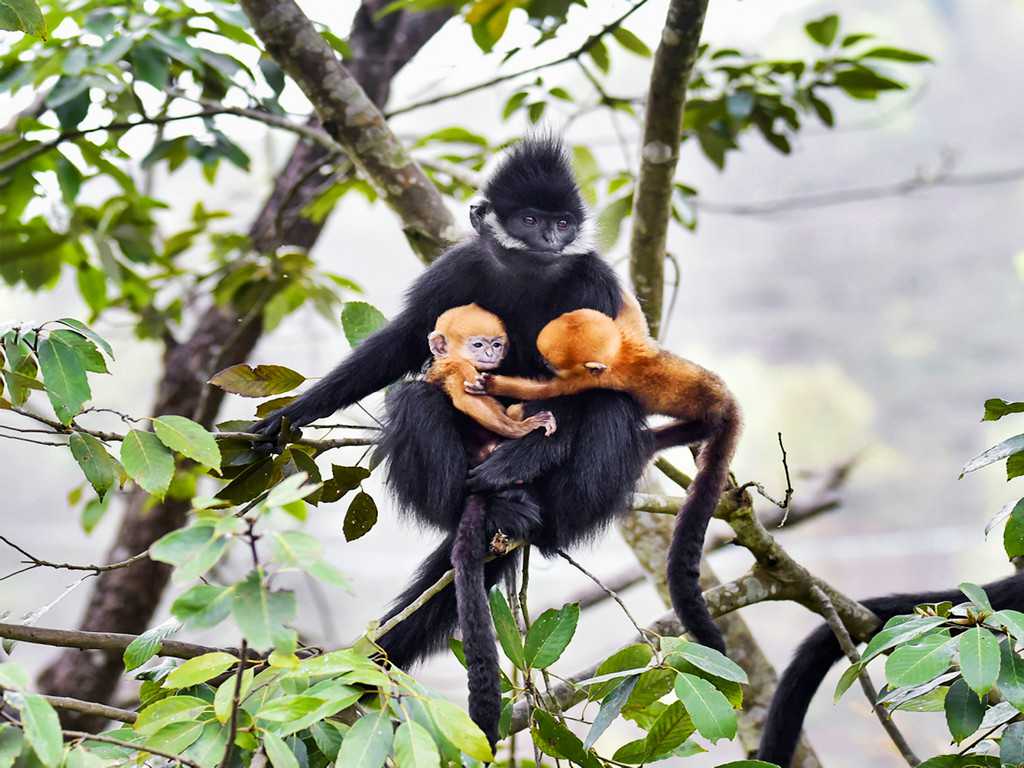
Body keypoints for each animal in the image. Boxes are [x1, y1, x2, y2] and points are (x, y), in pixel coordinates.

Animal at [423, 303, 557, 442]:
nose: (490, 354)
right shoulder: (460, 368)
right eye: (478, 345)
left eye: (496, 345)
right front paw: (525, 427)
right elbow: (468, 400)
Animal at [468, 294, 741, 655]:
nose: (539, 361)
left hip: (714, 419)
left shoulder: (591, 377)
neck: (621, 353)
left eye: (549, 361)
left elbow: (551, 392)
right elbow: (631, 313)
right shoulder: (628, 334)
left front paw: (495, 383)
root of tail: (732, 407)